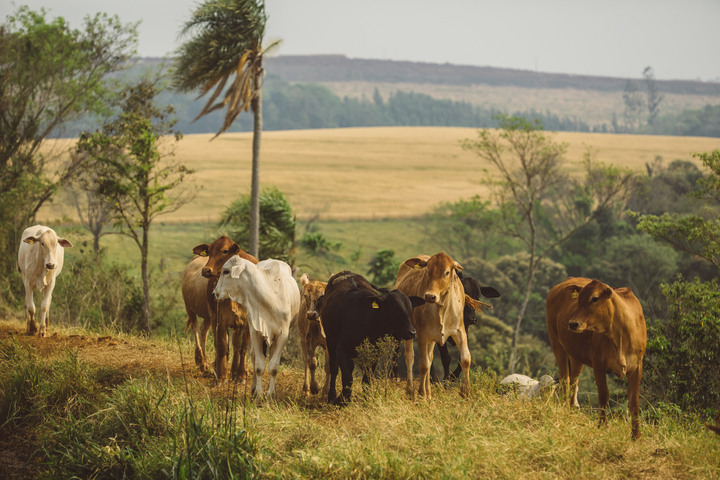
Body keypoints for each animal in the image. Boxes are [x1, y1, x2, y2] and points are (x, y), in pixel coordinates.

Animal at [181, 234, 260, 380]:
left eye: (225, 251)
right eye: (209, 251)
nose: (206, 270)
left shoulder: (246, 321)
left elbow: (241, 346)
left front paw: (239, 374)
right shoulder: (219, 318)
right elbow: (222, 346)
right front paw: (222, 374)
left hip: (208, 316)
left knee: (204, 331)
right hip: (190, 308)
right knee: (196, 329)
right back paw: (202, 362)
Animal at [320, 270, 424, 404]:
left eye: (410, 308)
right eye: (395, 309)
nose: (412, 332)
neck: (367, 320)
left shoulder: (375, 353)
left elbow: (367, 377)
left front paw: (365, 398)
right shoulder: (341, 349)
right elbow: (347, 376)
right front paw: (342, 399)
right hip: (331, 340)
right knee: (333, 368)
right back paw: (331, 395)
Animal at [390, 253, 486, 400]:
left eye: (447, 272)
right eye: (428, 271)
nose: (430, 296)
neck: (442, 308)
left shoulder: (460, 331)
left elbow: (465, 359)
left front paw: (465, 392)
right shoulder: (422, 335)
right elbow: (423, 365)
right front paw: (421, 393)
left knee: (429, 359)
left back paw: (428, 392)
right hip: (408, 332)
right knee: (410, 357)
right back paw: (410, 389)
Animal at [544, 278, 648, 438]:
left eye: (595, 298)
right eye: (578, 299)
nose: (573, 323)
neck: (620, 334)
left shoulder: (637, 366)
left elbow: (634, 401)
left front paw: (636, 435)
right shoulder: (599, 363)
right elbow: (603, 395)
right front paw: (602, 426)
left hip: (576, 354)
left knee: (574, 380)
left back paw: (572, 407)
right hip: (556, 343)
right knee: (564, 380)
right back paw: (564, 407)